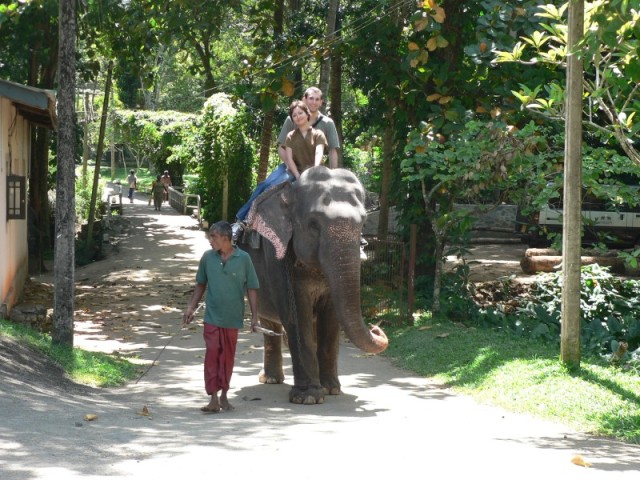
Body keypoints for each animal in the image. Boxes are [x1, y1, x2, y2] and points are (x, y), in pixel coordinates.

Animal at [239, 166, 390, 404]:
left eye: (364, 224)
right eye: (313, 224)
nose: (377, 328)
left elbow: (331, 317)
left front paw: (331, 390)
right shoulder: (275, 255)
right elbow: (296, 314)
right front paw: (308, 397)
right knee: (270, 322)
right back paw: (271, 379)